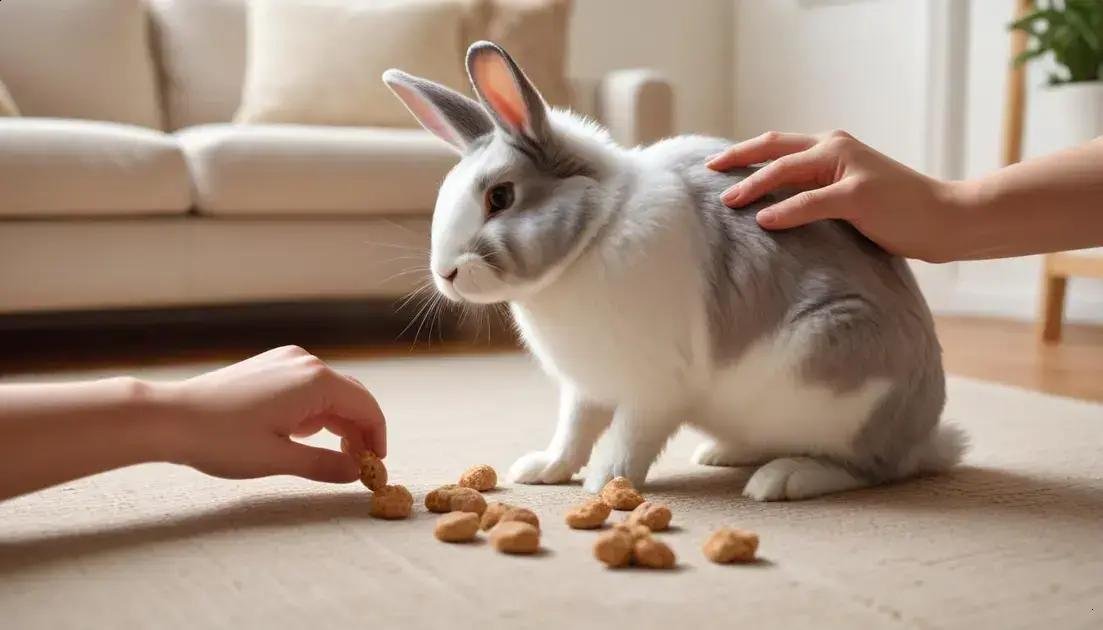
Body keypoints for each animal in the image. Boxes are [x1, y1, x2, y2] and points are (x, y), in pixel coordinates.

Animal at [382, 41, 966, 501]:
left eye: (500, 197)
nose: (445, 273)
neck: (595, 233)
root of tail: (923, 435)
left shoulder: (656, 386)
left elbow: (628, 437)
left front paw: (606, 484)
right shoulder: (585, 387)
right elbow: (573, 431)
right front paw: (542, 470)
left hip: (841, 369)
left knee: (872, 468)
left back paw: (783, 479)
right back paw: (722, 453)